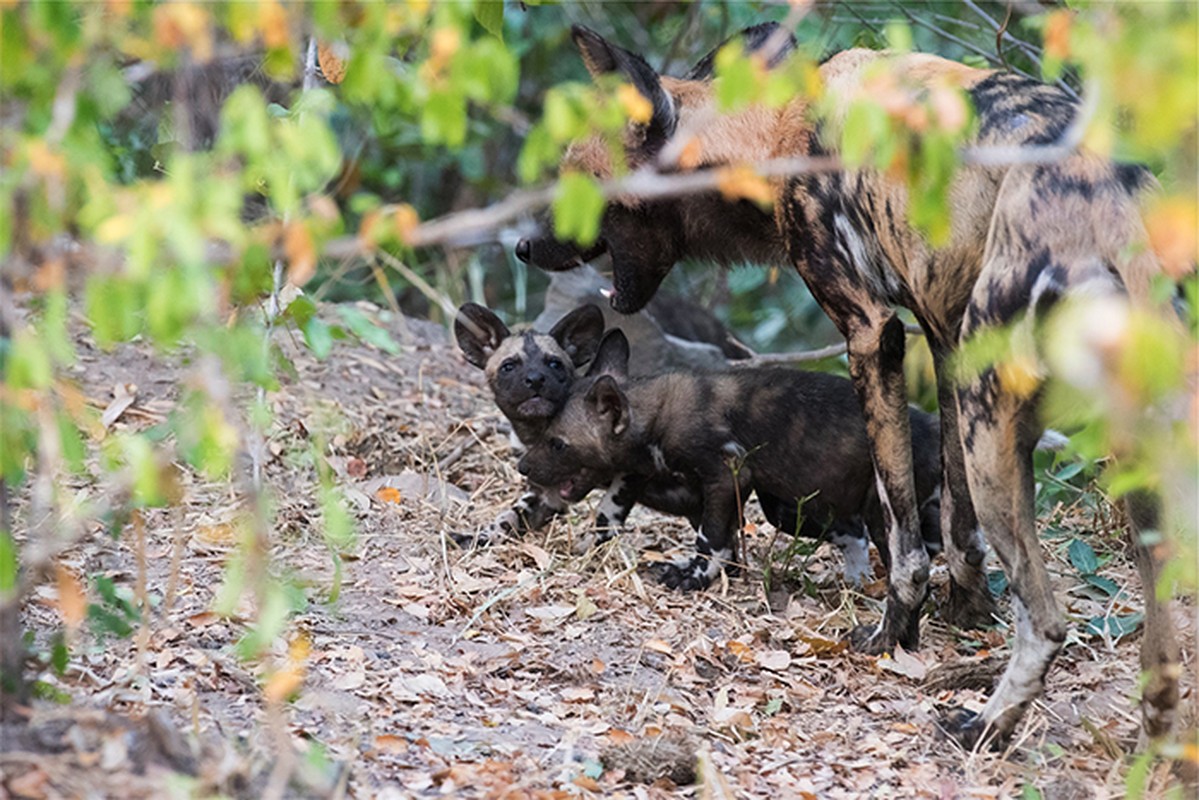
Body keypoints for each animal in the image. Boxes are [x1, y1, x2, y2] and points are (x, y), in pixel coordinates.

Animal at [515, 326, 944, 587]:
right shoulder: (668, 483)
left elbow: (711, 539)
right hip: (791, 507)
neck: (653, 417)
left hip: (877, 510)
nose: (522, 466)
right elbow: (612, 509)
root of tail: (929, 424)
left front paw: (696, 578)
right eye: (543, 433)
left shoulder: (727, 474)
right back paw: (856, 582)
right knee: (854, 534)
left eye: (557, 443)